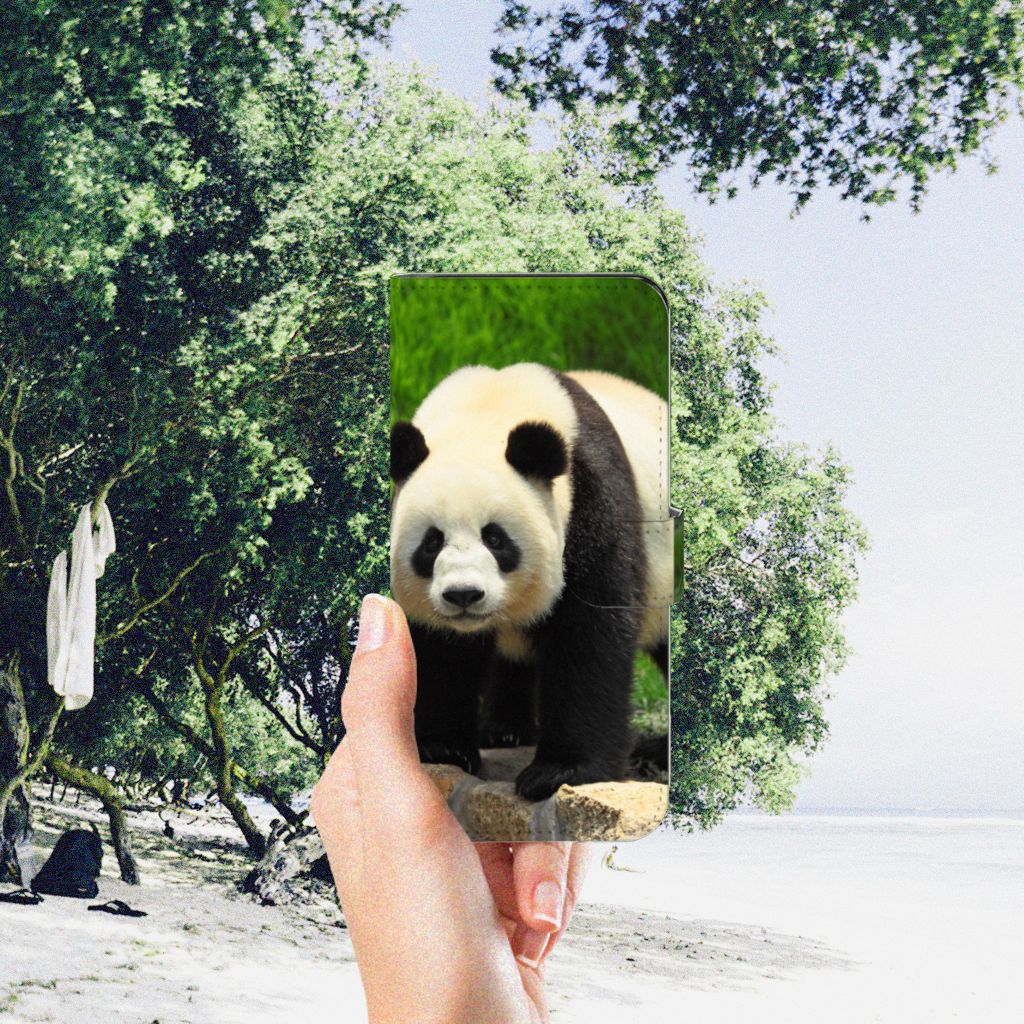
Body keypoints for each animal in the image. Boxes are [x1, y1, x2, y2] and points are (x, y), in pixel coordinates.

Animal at [389, 362, 672, 801]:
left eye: (495, 538)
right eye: (432, 542)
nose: (464, 595)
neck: (489, 407)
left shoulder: (591, 501)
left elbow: (589, 635)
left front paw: (559, 772)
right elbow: (441, 650)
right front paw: (443, 747)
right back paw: (505, 730)